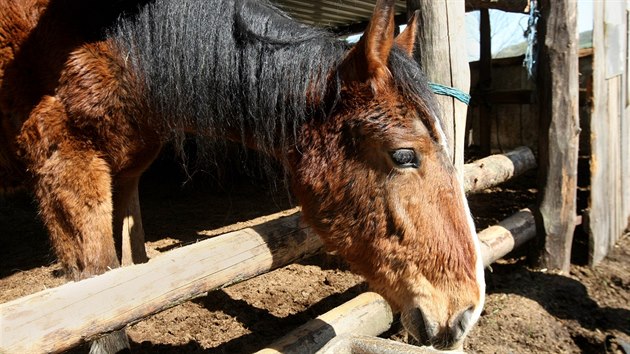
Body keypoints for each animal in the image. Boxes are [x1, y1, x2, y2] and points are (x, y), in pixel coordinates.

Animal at [0, 0, 486, 352]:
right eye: (404, 155)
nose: (466, 312)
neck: (111, 42)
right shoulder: (67, 169)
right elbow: (102, 308)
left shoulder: (124, 173)